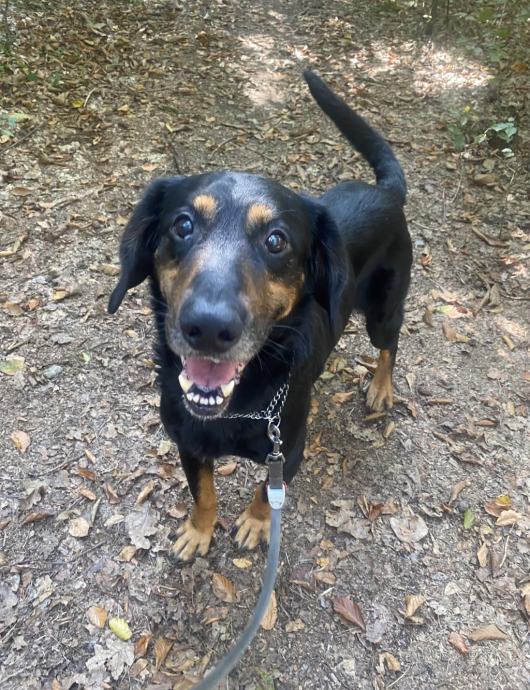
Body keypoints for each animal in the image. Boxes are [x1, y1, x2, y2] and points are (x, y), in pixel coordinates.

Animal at [108, 71, 412, 560]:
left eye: (276, 240)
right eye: (182, 224)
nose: (209, 327)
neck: (240, 405)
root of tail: (385, 191)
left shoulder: (287, 451)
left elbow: (265, 495)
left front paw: (254, 522)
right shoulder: (188, 443)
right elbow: (203, 493)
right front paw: (199, 531)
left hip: (382, 312)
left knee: (391, 343)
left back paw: (382, 387)